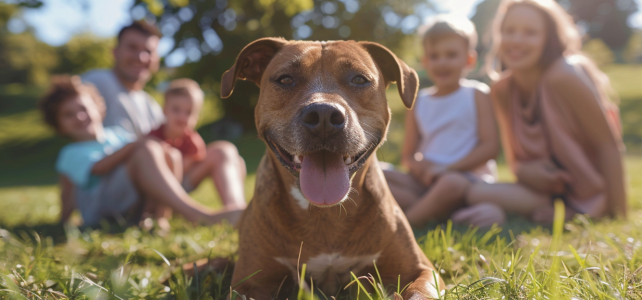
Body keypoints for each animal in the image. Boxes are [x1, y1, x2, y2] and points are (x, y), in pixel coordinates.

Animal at [220, 38, 440, 298]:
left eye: (359, 79)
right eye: (285, 79)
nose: (323, 114)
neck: (324, 215)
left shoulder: (421, 270)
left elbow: (419, 292)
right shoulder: (250, 284)